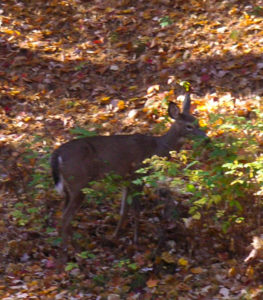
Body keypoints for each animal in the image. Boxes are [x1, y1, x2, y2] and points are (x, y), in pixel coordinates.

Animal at [51, 94, 208, 260]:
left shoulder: (125, 180)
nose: (207, 139)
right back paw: (66, 254)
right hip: (79, 182)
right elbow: (136, 210)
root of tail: (57, 155)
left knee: (63, 214)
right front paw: (136, 240)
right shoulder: (137, 175)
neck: (156, 148)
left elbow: (123, 211)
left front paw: (114, 236)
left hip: (69, 188)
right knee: (66, 216)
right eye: (189, 126)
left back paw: (75, 248)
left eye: (198, 122)